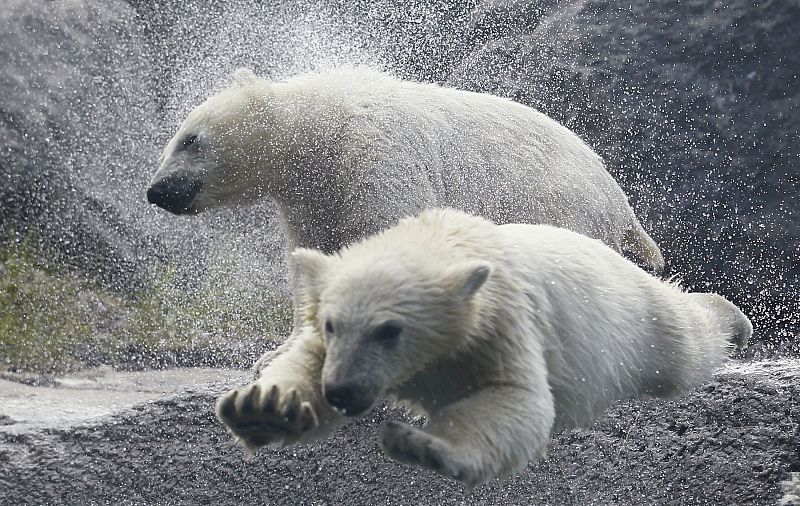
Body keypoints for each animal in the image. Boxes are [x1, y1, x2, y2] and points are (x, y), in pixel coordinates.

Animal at [217, 208, 752, 484]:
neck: (441, 240)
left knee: (686, 347)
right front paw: (265, 409)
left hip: (638, 326)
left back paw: (734, 318)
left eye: (389, 330)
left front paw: (424, 445)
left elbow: (517, 399)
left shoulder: (500, 321)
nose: (343, 392)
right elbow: (304, 362)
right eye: (331, 325)